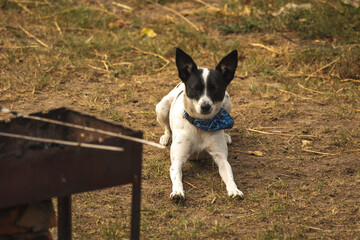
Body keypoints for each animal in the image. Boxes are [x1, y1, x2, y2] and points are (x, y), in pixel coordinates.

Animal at [155, 48, 243, 201]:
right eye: (194, 89)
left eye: (216, 89)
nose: (205, 106)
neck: (202, 124)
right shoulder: (177, 160)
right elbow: (177, 176)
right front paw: (177, 192)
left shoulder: (221, 158)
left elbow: (229, 175)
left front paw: (234, 190)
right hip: (162, 106)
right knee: (166, 127)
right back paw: (166, 137)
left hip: (227, 103)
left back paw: (226, 135)